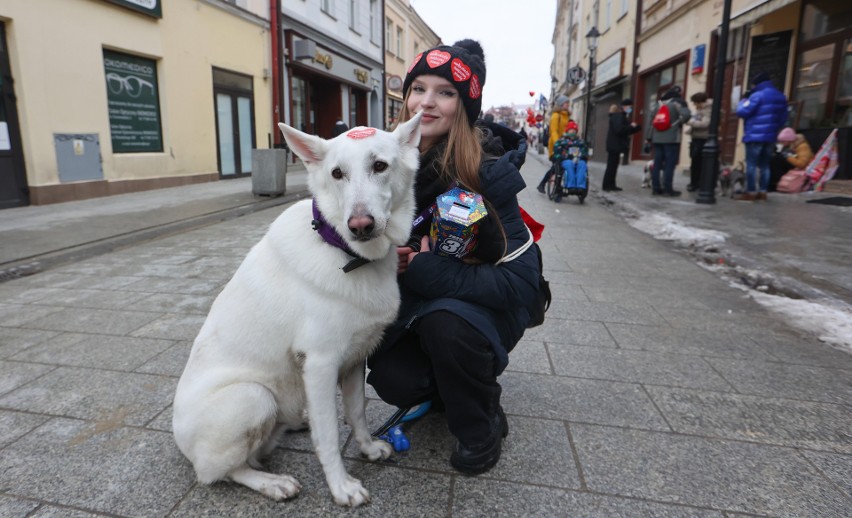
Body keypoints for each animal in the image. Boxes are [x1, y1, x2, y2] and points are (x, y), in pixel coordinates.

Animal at [173, 112, 422, 508]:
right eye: (337, 173)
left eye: (380, 166)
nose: (360, 226)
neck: (342, 250)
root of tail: (180, 441)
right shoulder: (320, 365)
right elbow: (330, 436)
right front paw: (341, 487)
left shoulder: (355, 359)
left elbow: (357, 412)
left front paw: (368, 449)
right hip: (253, 397)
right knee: (219, 471)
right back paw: (272, 483)